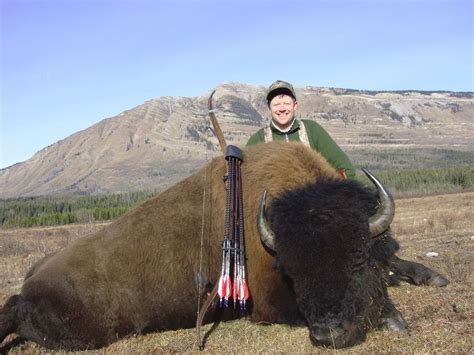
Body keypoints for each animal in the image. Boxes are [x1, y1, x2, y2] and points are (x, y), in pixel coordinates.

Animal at [0, 141, 446, 350]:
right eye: (293, 271)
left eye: (358, 261)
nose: (327, 334)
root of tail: (32, 280)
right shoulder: (268, 309)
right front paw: (394, 317)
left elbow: (400, 263)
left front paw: (431, 276)